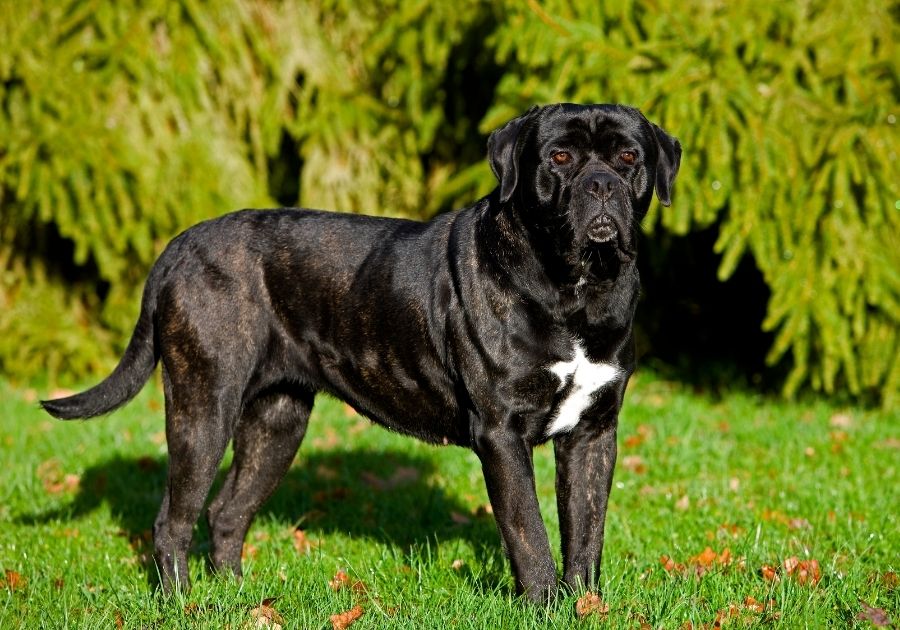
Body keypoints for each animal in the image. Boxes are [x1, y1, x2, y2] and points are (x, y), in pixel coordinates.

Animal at [42, 102, 680, 604]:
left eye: (628, 157)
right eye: (560, 158)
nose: (601, 185)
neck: (577, 291)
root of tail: (176, 247)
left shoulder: (593, 433)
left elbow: (585, 531)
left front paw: (586, 605)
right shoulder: (502, 432)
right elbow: (529, 531)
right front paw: (546, 603)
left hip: (278, 419)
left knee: (225, 511)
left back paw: (236, 597)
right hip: (204, 406)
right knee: (173, 519)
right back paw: (185, 605)